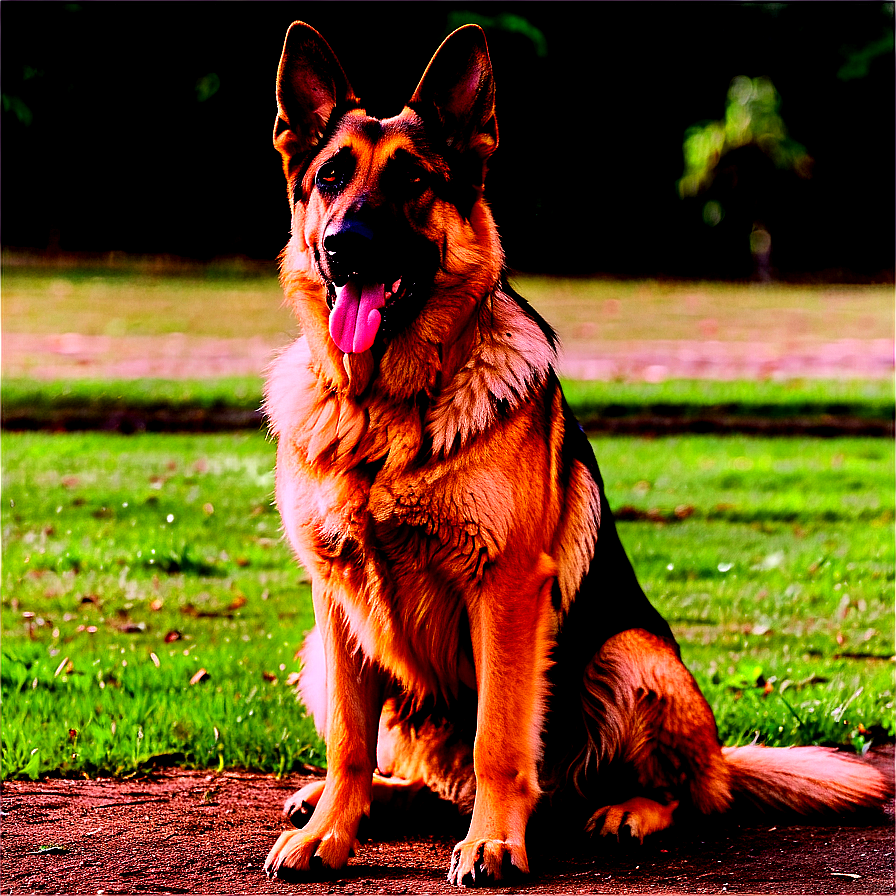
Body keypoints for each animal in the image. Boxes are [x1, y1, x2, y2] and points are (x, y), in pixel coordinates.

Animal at [262, 22, 892, 888]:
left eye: (414, 180)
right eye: (329, 178)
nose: (344, 247)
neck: (384, 411)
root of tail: (723, 757)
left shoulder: (506, 588)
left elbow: (499, 739)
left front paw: (493, 843)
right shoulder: (335, 598)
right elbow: (351, 746)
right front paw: (331, 831)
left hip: (631, 657)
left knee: (680, 793)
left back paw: (626, 810)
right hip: (320, 657)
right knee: (430, 779)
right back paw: (367, 799)